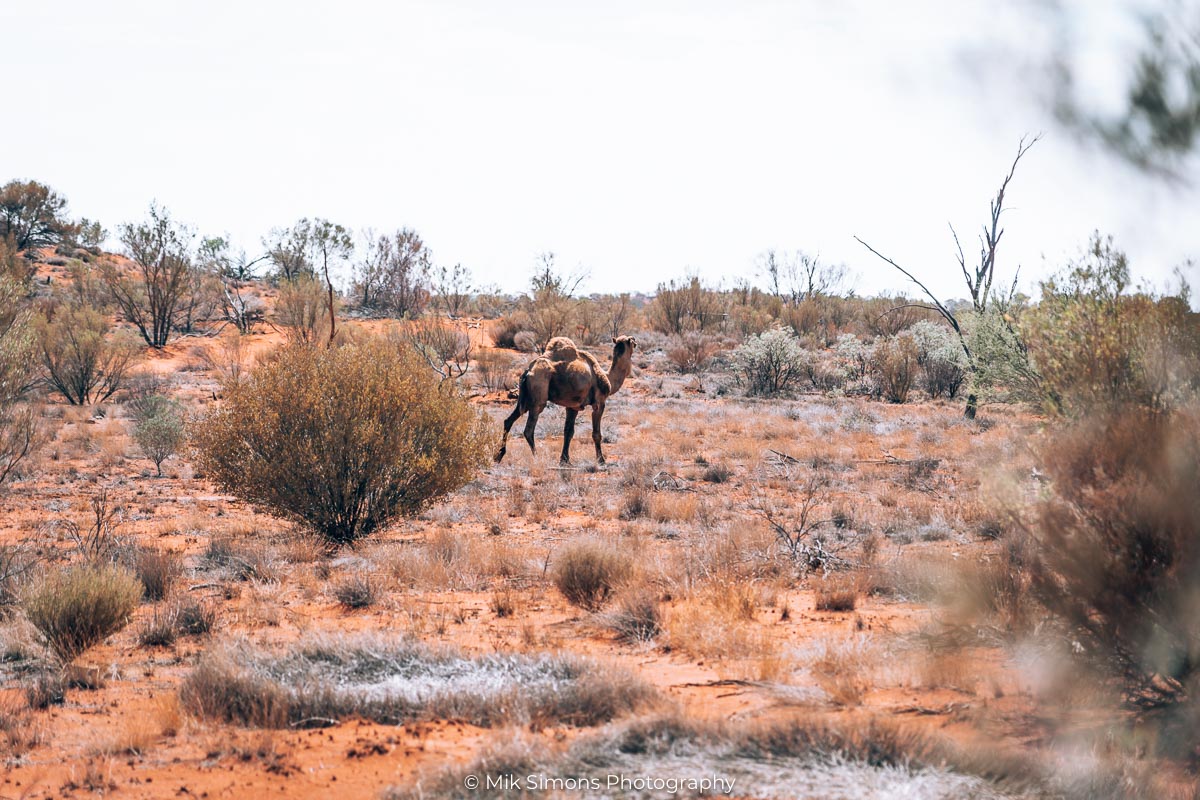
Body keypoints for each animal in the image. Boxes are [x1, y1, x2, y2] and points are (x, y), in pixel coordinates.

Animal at [492, 335, 638, 465]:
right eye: (630, 341)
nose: (635, 340)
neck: (607, 378)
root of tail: (527, 372)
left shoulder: (572, 406)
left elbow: (568, 432)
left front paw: (565, 460)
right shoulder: (599, 403)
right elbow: (596, 434)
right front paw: (601, 460)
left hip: (525, 400)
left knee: (508, 421)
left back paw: (498, 455)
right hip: (538, 397)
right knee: (528, 430)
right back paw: (537, 458)